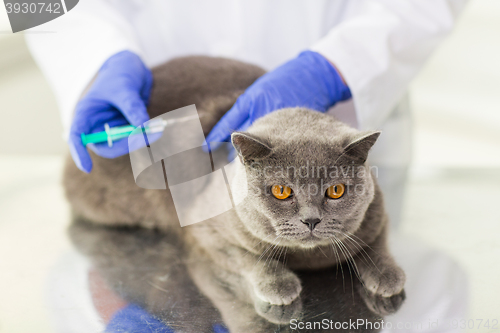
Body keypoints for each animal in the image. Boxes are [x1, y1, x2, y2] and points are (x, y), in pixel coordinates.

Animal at [63, 55, 406, 330]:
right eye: (281, 191)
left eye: (336, 190)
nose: (311, 220)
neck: (307, 258)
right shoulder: (205, 232)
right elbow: (249, 258)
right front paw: (279, 284)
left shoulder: (377, 213)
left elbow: (377, 244)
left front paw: (387, 275)